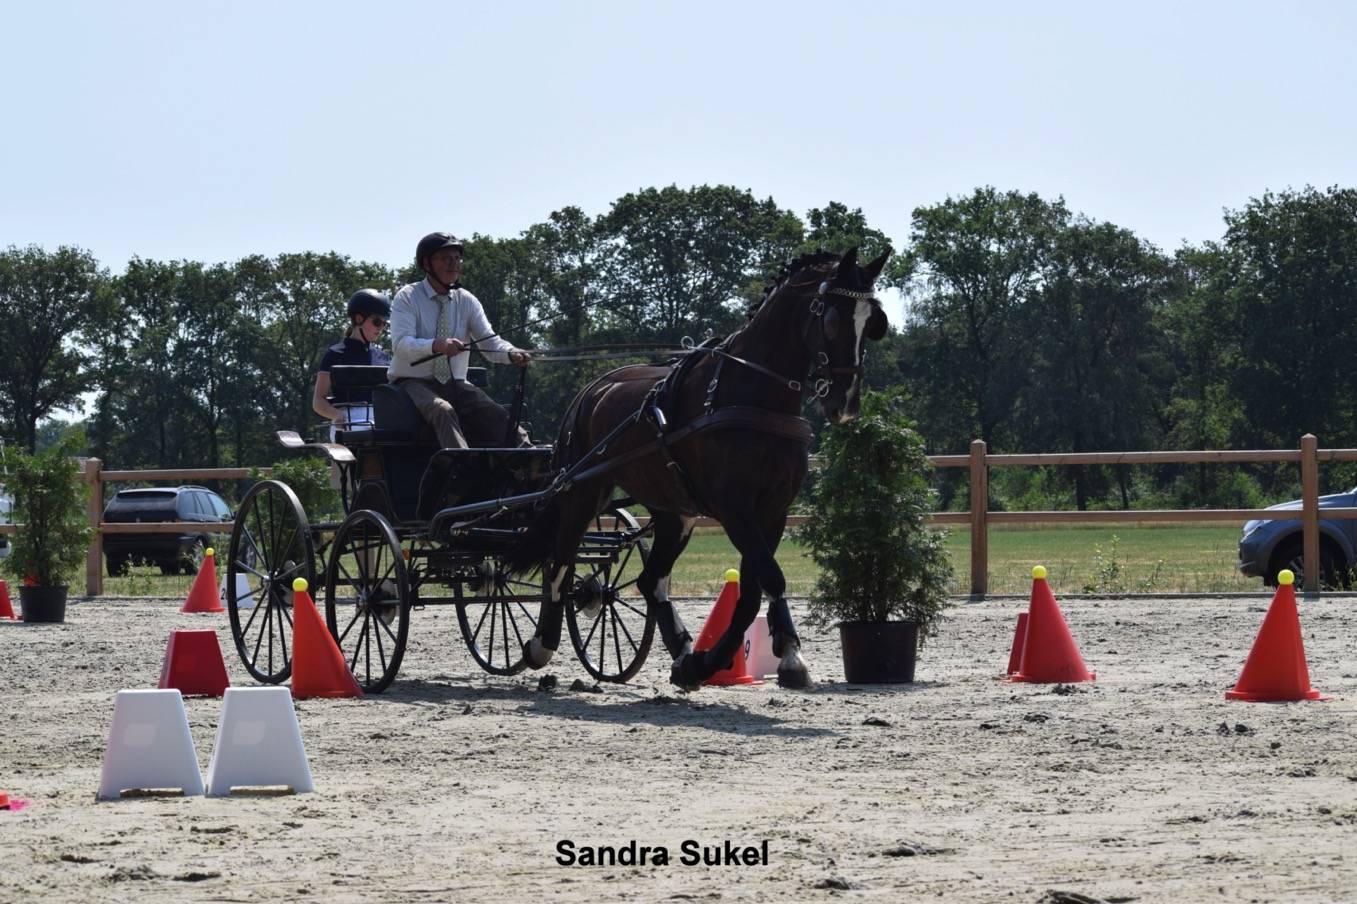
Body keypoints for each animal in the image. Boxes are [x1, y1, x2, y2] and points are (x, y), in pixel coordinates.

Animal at [510, 244, 890, 684]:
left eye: (873, 323)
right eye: (831, 319)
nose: (844, 405)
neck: (752, 394)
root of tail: (591, 390)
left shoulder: (773, 510)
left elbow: (752, 588)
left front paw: (744, 659)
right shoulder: (734, 508)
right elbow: (769, 576)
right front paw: (752, 656)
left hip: (674, 512)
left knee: (650, 580)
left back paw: (683, 655)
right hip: (582, 492)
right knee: (560, 564)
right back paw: (541, 645)